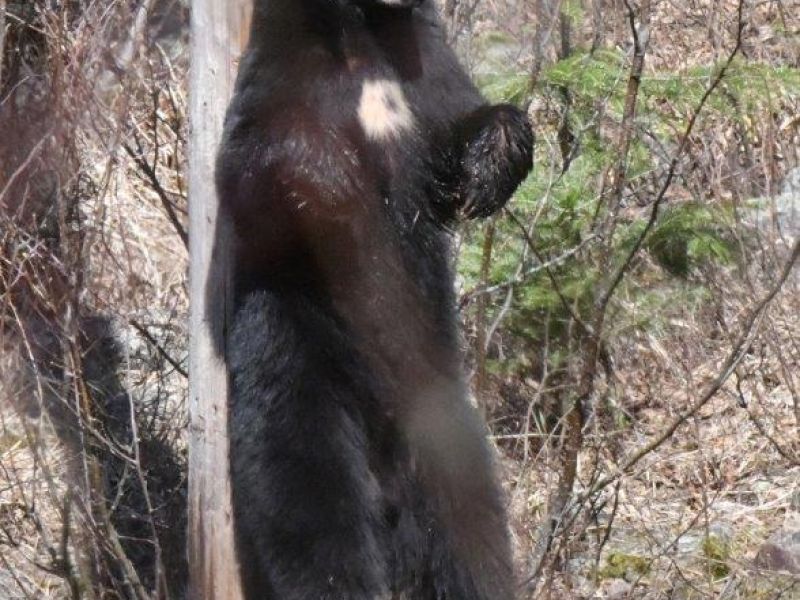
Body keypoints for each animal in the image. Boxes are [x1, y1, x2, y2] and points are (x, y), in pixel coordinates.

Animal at [214, 0, 534, 598]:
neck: (361, 33)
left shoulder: (420, 64)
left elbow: (455, 123)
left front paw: (492, 162)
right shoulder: (280, 67)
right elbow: (249, 167)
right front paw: (328, 176)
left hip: (444, 415)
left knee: (473, 526)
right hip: (298, 358)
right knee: (308, 497)